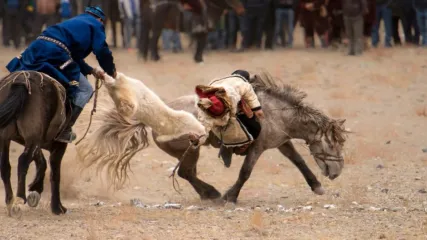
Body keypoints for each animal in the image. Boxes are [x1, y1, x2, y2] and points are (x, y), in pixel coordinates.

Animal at [0, 71, 71, 216]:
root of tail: (22, 80)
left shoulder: (30, 141)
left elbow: (41, 161)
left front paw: (35, 188)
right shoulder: (58, 145)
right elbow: (55, 172)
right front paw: (57, 207)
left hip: (6, 138)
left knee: (5, 166)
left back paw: (10, 201)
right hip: (32, 139)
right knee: (22, 161)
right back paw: (19, 199)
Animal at [153, 73, 348, 202]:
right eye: (332, 145)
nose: (337, 172)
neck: (276, 114)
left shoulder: (282, 143)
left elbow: (299, 161)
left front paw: (316, 186)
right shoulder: (257, 147)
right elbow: (245, 172)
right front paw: (231, 197)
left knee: (188, 173)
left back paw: (207, 193)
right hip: (192, 150)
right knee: (186, 173)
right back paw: (212, 193)